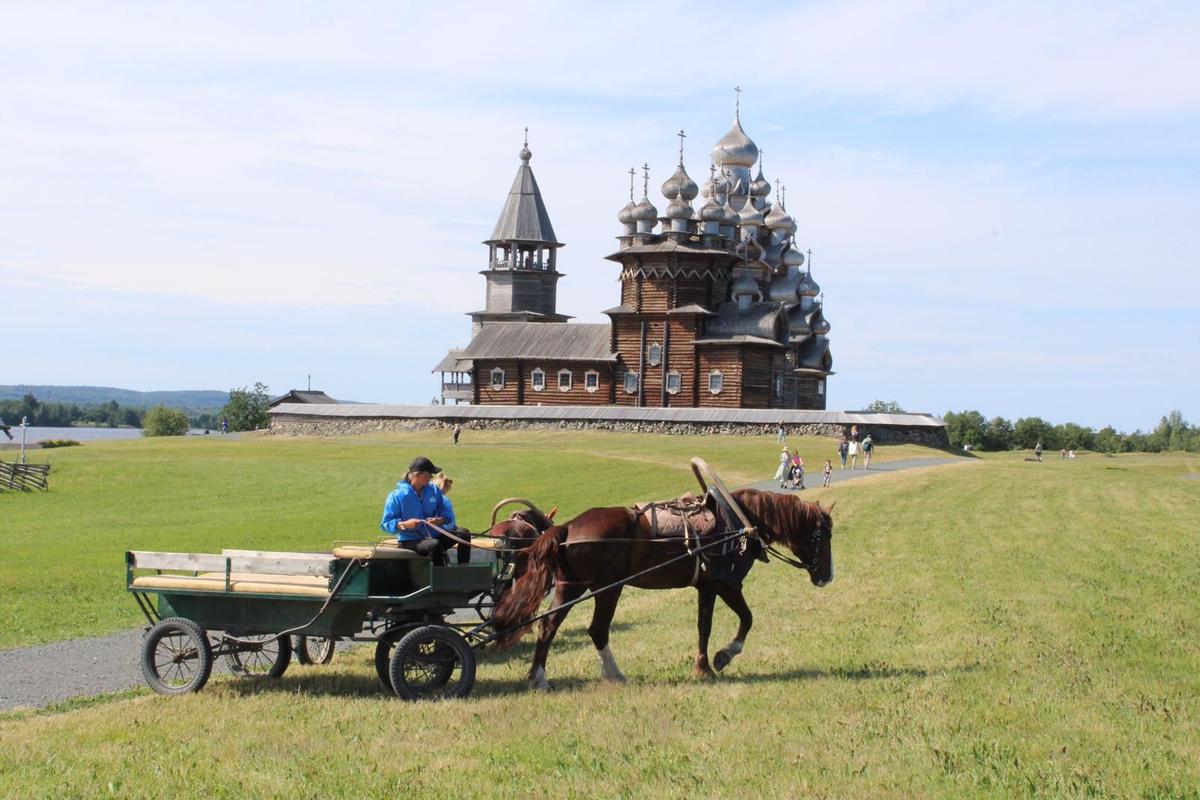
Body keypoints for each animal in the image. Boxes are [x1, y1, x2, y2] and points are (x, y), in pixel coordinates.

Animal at [487, 484, 835, 690]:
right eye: (823, 535)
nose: (827, 577)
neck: (738, 523)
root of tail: (568, 527)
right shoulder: (727, 583)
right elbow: (747, 619)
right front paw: (723, 656)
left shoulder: (706, 586)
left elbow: (704, 626)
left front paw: (702, 667)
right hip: (606, 588)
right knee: (596, 629)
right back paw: (613, 674)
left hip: (570, 586)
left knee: (547, 626)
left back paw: (538, 676)